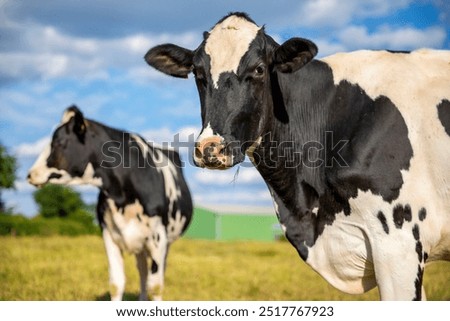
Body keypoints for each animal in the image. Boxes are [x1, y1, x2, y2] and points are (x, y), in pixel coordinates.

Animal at [26, 105, 192, 300]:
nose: (30, 174)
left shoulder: (159, 238)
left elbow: (156, 286)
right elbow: (116, 284)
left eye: (59, 142)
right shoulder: (109, 234)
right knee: (142, 270)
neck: (121, 194)